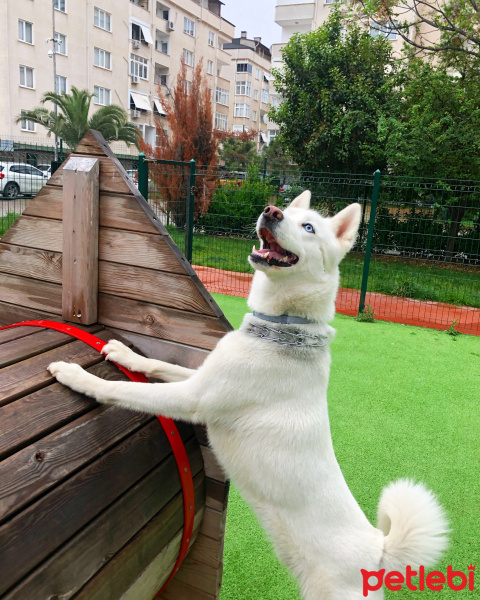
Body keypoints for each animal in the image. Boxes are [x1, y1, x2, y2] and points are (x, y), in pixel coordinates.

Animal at [49, 193, 450, 600]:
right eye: (288, 212)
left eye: (309, 227)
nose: (271, 211)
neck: (281, 329)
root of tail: (378, 550)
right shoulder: (202, 378)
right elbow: (159, 365)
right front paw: (124, 353)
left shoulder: (192, 398)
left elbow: (126, 389)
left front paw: (76, 375)